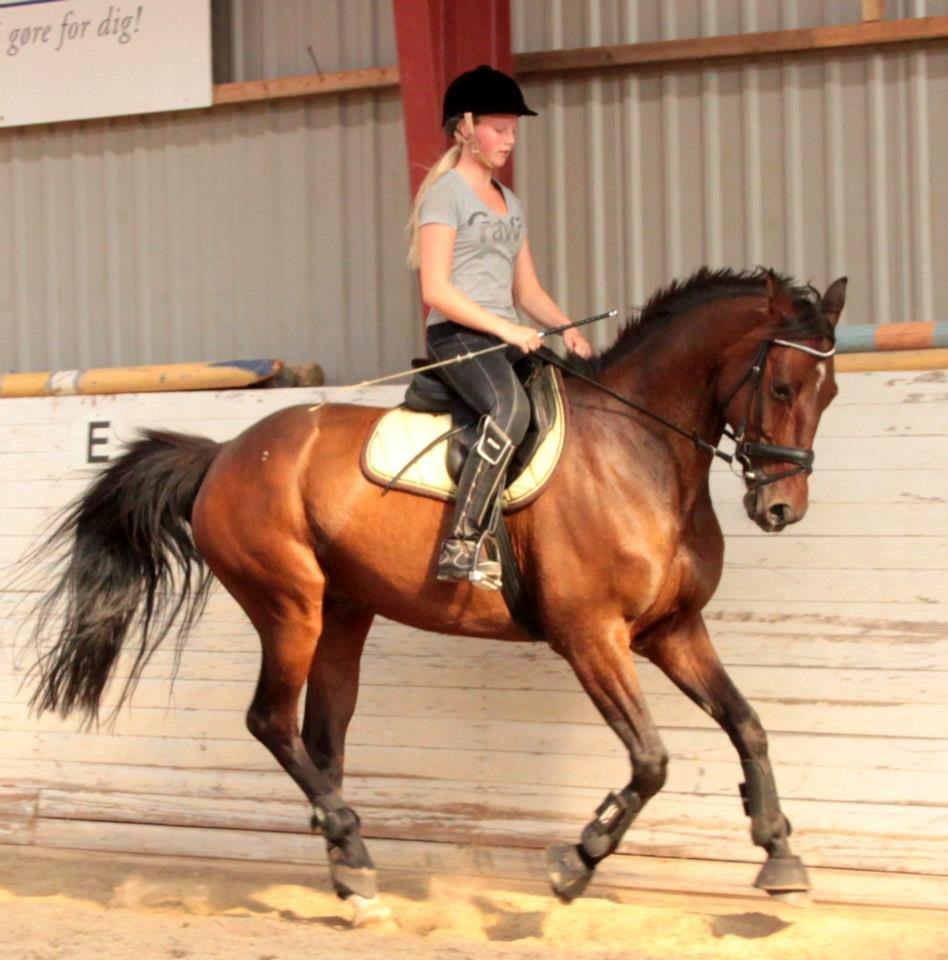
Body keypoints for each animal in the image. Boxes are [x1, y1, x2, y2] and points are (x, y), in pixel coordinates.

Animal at [25, 268, 844, 924]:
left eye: (829, 393)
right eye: (780, 386)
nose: (781, 508)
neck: (639, 452)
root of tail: (225, 454)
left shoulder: (673, 629)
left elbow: (747, 725)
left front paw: (780, 856)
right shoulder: (591, 637)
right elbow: (651, 760)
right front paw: (576, 860)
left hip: (346, 614)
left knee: (322, 736)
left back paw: (352, 871)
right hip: (290, 606)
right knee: (271, 721)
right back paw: (352, 851)